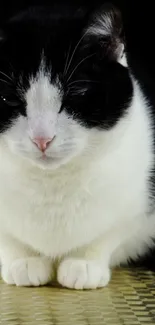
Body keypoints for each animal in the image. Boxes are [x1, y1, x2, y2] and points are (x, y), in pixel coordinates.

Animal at [0, 0, 154, 288]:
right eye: (8, 99)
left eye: (77, 94)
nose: (42, 139)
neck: (51, 185)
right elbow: (8, 237)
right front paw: (23, 261)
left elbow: (110, 232)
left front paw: (83, 263)